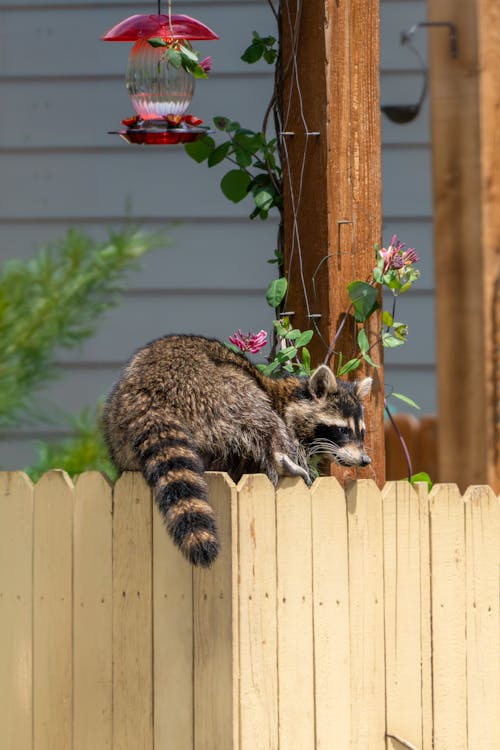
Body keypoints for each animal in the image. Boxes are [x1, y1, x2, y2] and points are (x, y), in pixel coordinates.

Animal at [103, 338, 374, 568]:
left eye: (361, 432)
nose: (365, 460)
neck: (289, 399)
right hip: (211, 387)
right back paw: (280, 456)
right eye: (343, 430)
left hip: (119, 429)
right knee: (257, 411)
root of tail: (147, 394)